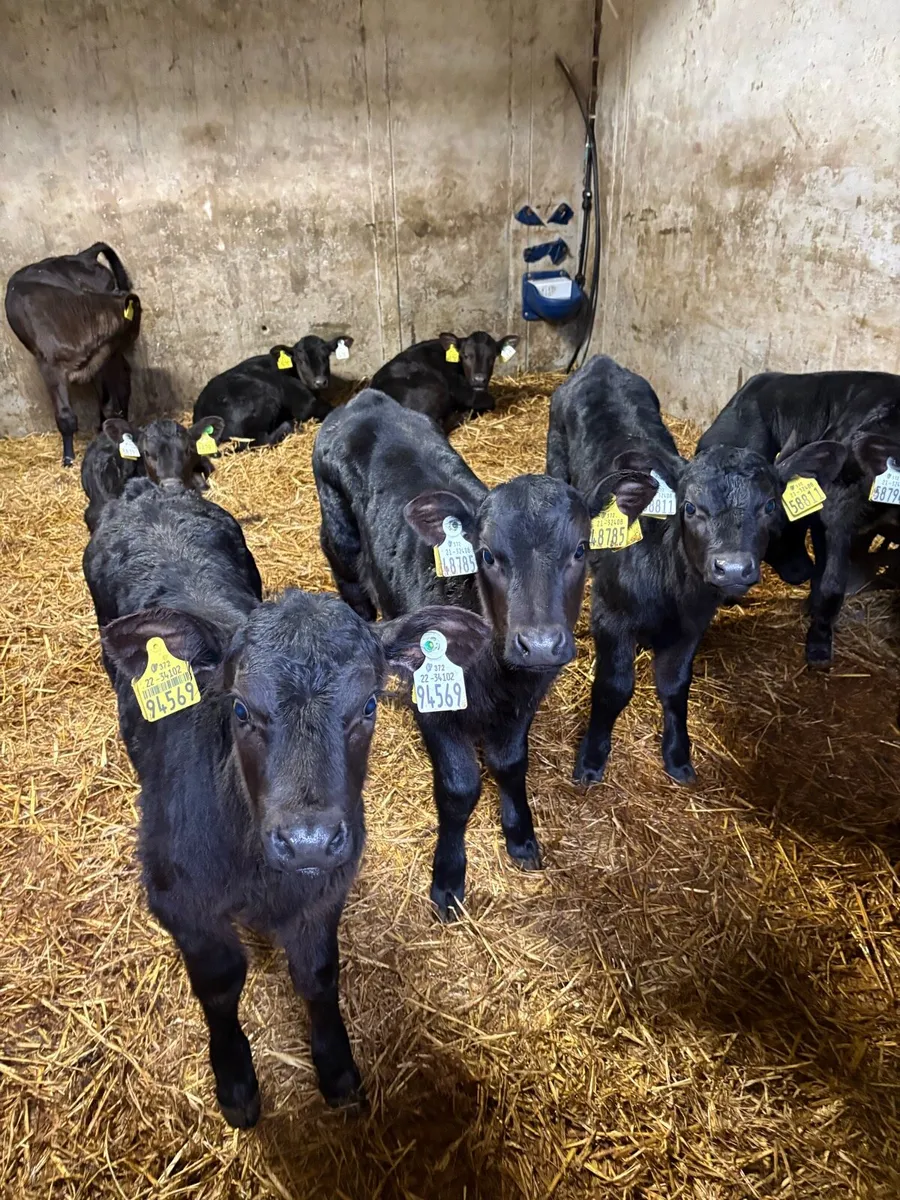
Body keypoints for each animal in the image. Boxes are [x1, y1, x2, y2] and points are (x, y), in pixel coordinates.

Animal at [5, 242, 141, 466]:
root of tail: (82, 256)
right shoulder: (50, 367)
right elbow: (66, 417)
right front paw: (68, 459)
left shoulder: (101, 358)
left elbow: (109, 403)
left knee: (122, 382)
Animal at [82, 481, 489, 1127]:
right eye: (240, 708)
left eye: (369, 704)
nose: (308, 840)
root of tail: (150, 491)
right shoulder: (180, 900)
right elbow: (220, 985)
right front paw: (235, 1080)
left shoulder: (326, 887)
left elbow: (318, 974)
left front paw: (337, 1067)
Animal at [193, 335, 353, 447]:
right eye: (301, 360)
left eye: (326, 356)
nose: (320, 382)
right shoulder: (305, 404)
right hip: (264, 397)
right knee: (258, 441)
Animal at [313, 388, 600, 920]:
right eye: (487, 554)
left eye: (581, 549)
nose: (540, 642)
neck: (498, 673)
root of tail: (363, 398)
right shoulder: (437, 707)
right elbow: (460, 787)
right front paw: (448, 879)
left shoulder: (524, 702)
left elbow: (510, 763)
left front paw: (521, 836)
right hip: (340, 542)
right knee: (354, 593)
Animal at [547, 356, 846, 784]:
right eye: (690, 507)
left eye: (770, 505)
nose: (733, 568)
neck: (671, 587)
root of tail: (601, 363)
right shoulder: (611, 613)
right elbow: (613, 687)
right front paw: (590, 759)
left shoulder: (692, 624)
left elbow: (674, 685)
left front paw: (677, 756)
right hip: (555, 452)